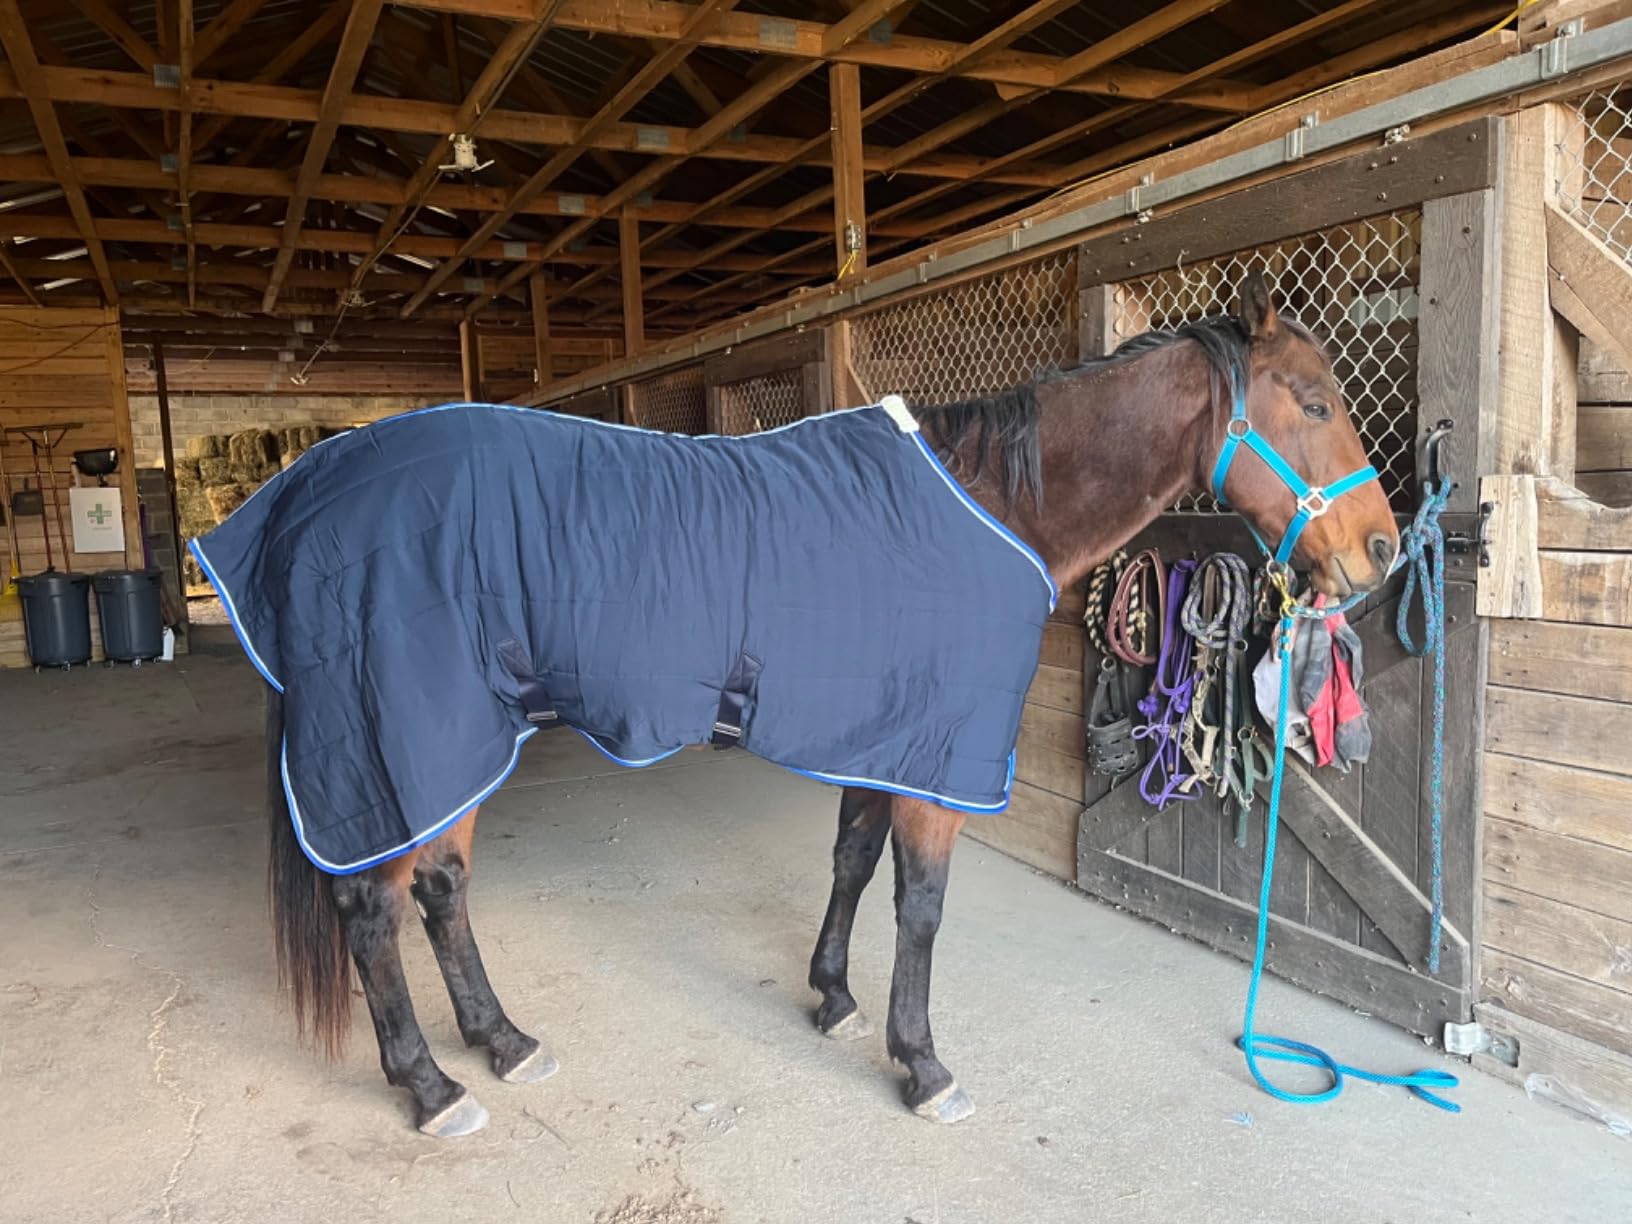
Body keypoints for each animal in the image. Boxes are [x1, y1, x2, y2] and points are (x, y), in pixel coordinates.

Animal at [223, 272, 1398, 1136]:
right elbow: (919, 905)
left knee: (441, 890)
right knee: (374, 910)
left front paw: (831, 999)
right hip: (408, 742)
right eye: (1315, 403)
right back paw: (432, 1088)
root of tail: (310, 494)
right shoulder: (937, 755)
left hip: (453, 742)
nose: (1381, 550)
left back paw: (504, 1043)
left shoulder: (884, 739)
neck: (987, 503)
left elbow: (851, 860)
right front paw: (922, 1064)